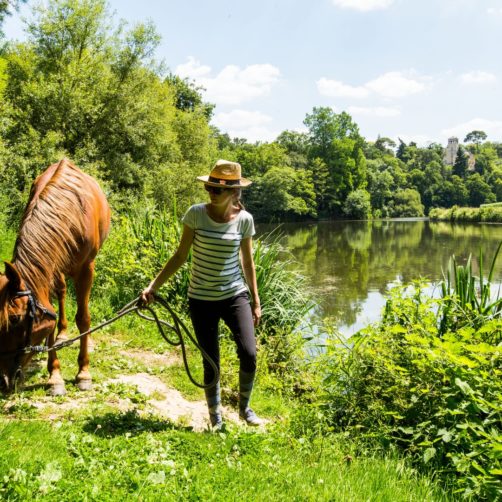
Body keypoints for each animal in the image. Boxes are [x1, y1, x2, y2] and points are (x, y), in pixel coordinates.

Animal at [0, 159, 110, 394]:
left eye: (14, 319)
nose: (1, 381)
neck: (68, 212)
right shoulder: (46, 272)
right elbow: (51, 316)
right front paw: (55, 377)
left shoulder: (86, 270)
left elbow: (84, 318)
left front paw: (83, 373)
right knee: (61, 291)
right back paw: (62, 334)